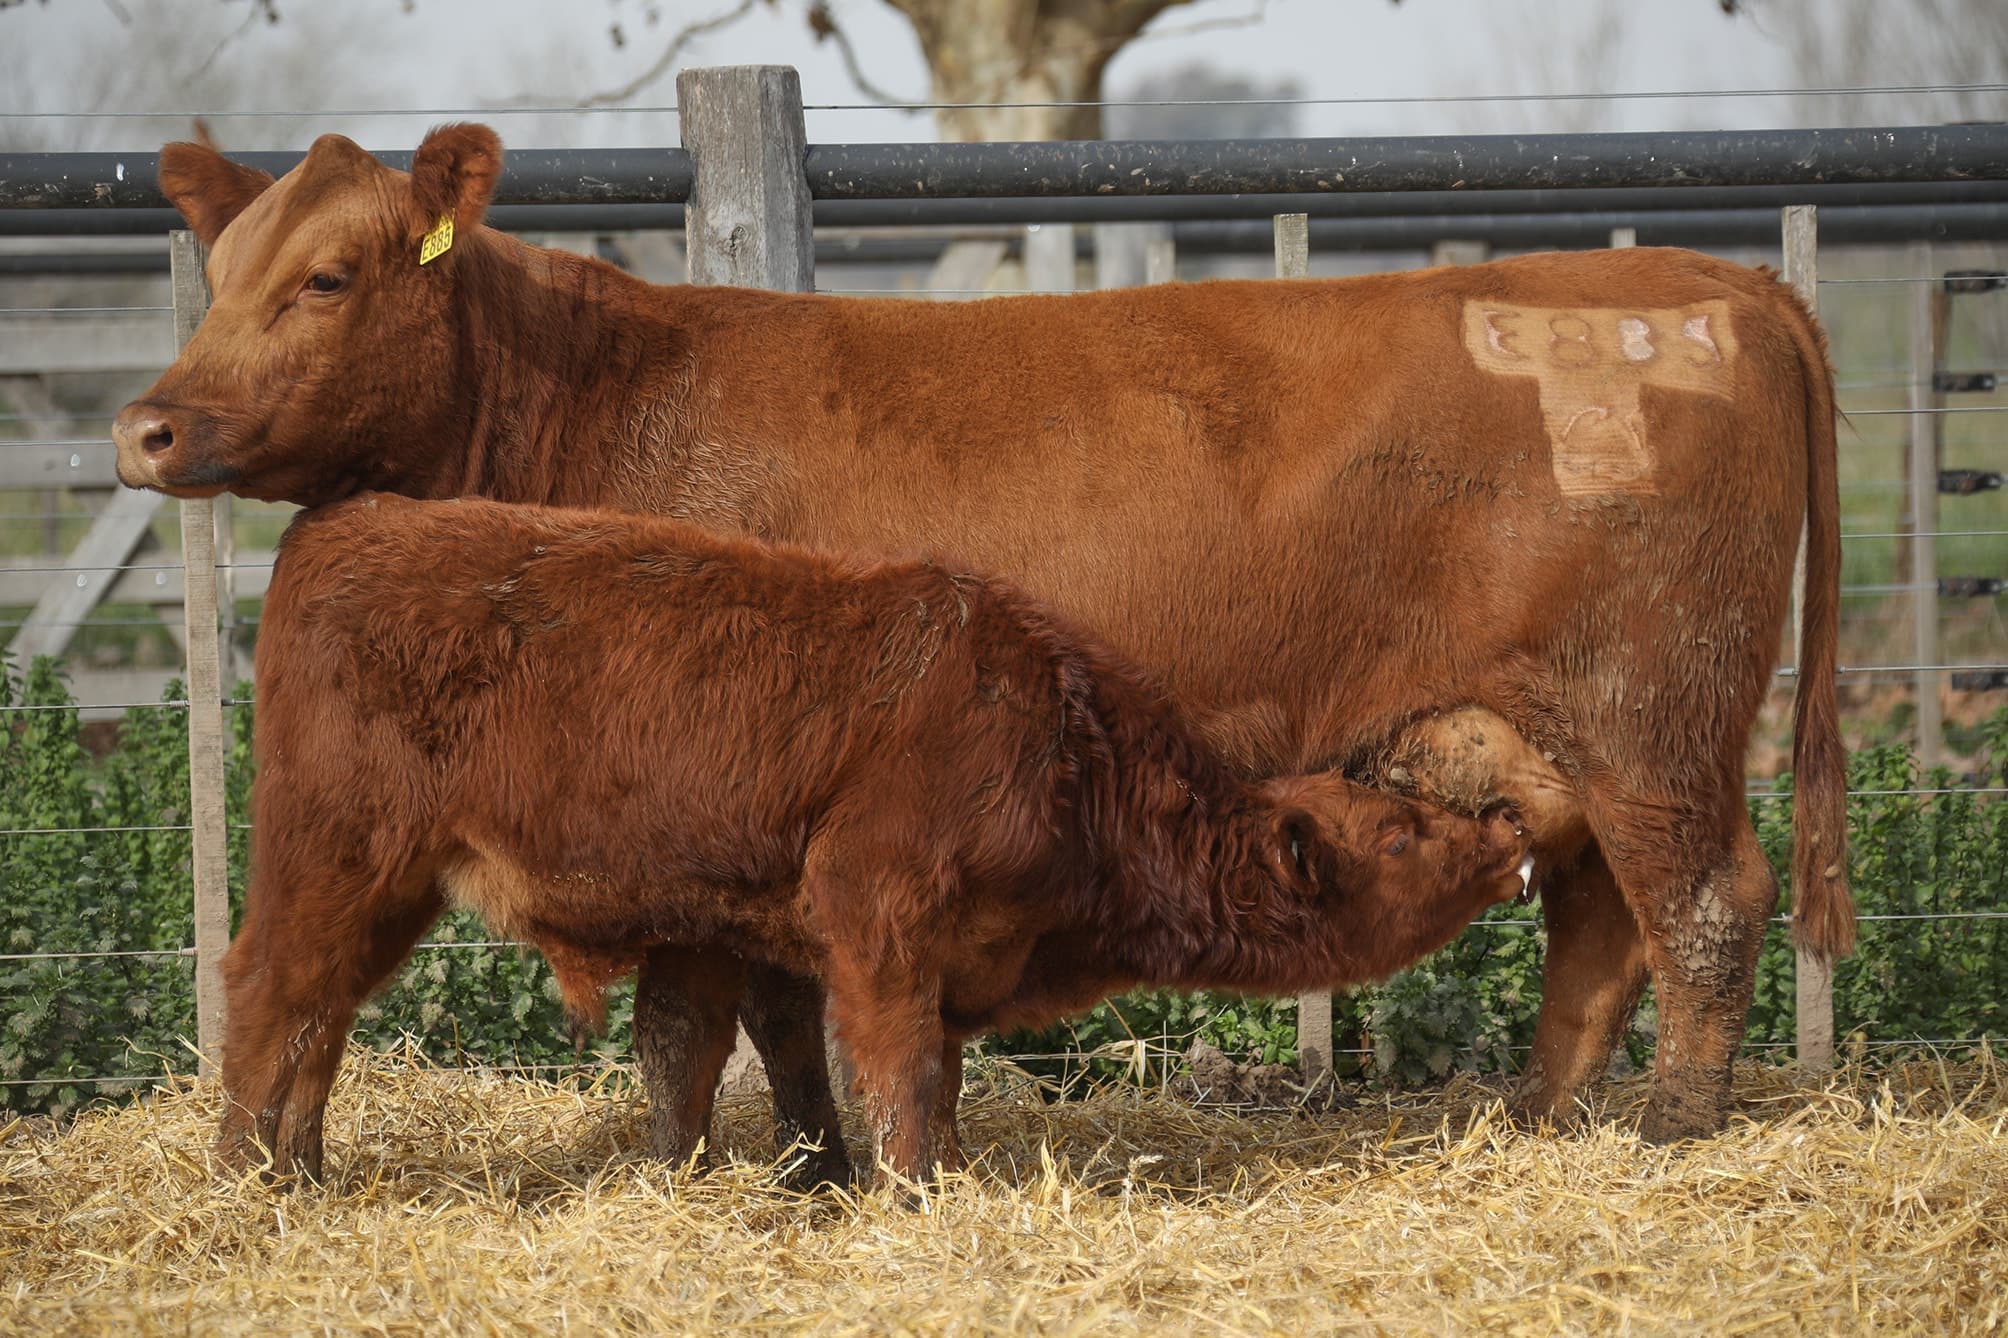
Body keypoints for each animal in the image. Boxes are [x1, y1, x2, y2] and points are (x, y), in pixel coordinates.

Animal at [229, 493, 1536, 1185]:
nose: (1509, 829)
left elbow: (915, 1075)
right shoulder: (878, 914)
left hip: (386, 886)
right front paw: (910, 1193)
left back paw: (302, 1170)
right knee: (270, 993)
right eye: (1402, 834)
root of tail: (347, 520)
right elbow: (896, 1069)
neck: (1059, 743)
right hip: (336, 855)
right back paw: (247, 1175)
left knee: (321, 1016)